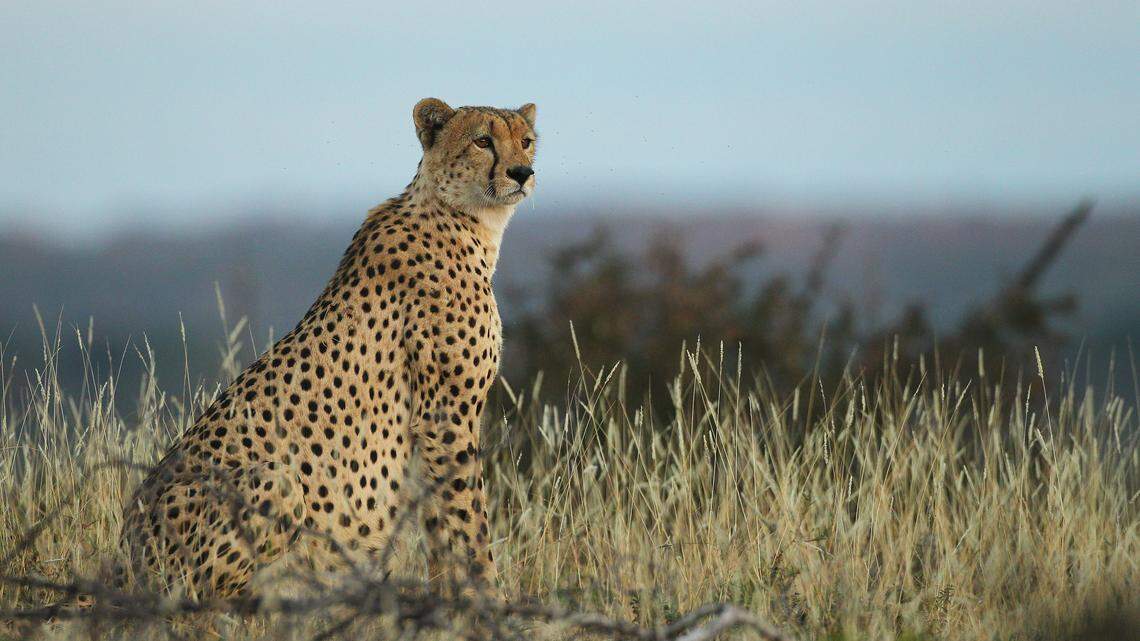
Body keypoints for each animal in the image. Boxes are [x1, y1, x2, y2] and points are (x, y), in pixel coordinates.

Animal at [119, 97, 537, 599]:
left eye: (526, 141)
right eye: (482, 141)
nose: (522, 172)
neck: (464, 217)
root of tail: (123, 551)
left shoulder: (434, 426)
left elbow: (442, 524)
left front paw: (449, 599)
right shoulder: (445, 416)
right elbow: (469, 520)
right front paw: (489, 598)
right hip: (273, 480)